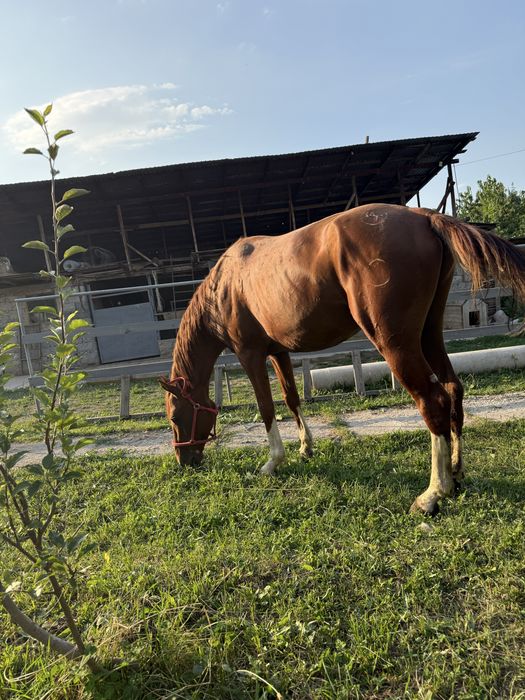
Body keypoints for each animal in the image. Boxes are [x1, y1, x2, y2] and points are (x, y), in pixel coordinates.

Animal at [160, 203, 525, 515]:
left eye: (176, 417)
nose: (184, 460)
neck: (226, 283)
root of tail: (423, 216)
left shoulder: (249, 354)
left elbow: (266, 408)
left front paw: (272, 462)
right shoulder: (278, 352)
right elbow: (291, 398)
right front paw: (305, 448)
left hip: (396, 343)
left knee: (432, 400)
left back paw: (433, 494)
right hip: (429, 334)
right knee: (453, 390)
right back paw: (457, 472)